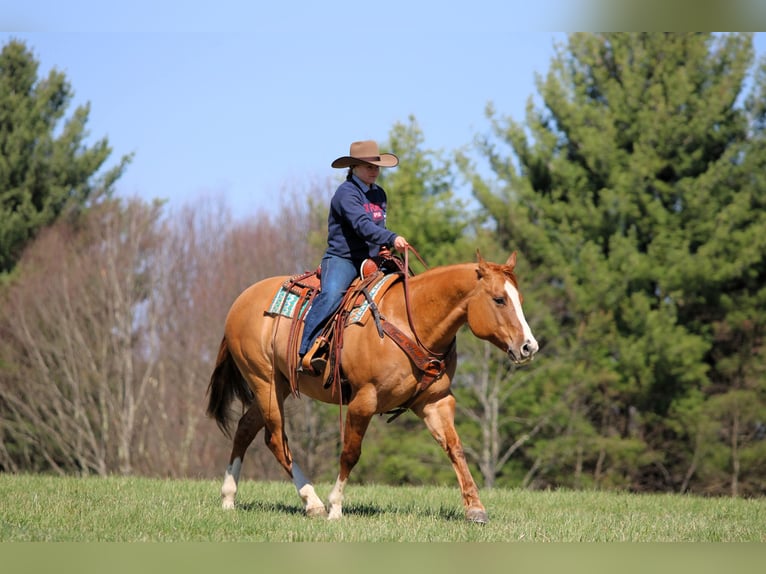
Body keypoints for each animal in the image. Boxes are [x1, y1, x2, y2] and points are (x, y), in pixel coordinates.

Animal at [205, 250, 539, 523]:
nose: (528, 347)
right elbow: (350, 452)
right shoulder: (364, 400)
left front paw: (475, 508)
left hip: (279, 385)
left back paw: (228, 498)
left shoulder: (436, 401)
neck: (411, 321)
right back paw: (312, 502)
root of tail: (241, 301)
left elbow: (455, 448)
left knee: (246, 427)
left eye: (520, 300)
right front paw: (336, 507)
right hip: (265, 382)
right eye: (499, 299)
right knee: (275, 439)